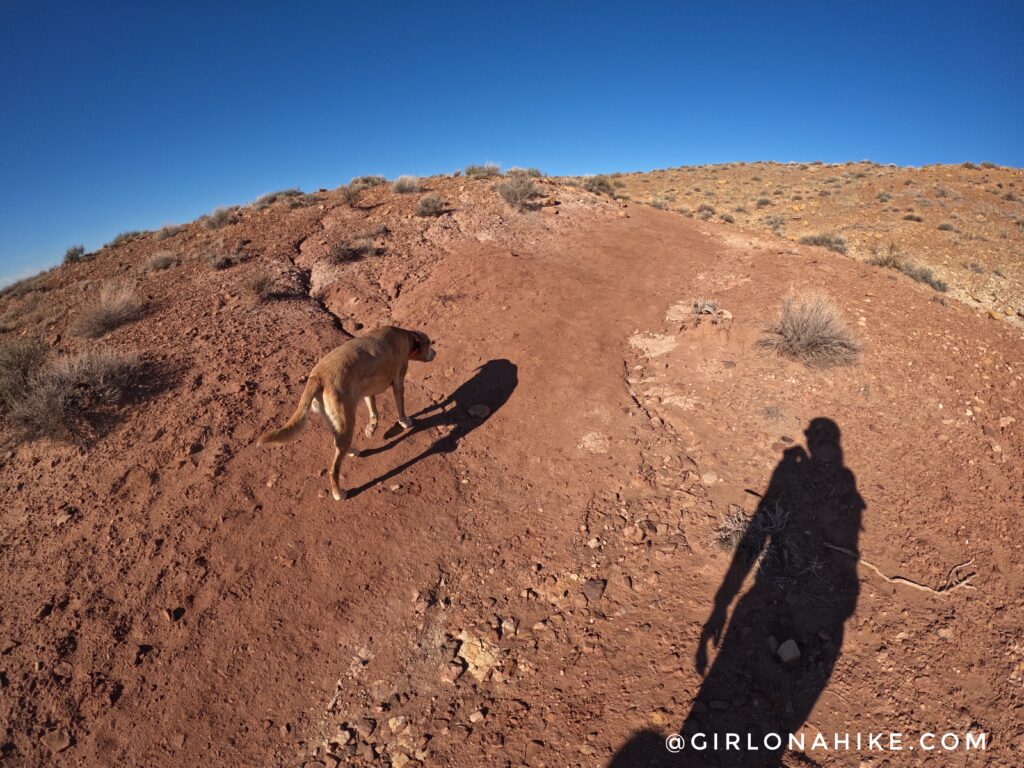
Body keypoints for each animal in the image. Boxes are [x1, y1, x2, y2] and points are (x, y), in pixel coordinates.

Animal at [256, 325, 436, 501]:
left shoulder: (367, 390)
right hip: (346, 422)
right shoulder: (398, 382)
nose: (435, 353)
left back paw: (352, 451)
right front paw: (404, 421)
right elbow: (400, 408)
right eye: (429, 344)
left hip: (338, 423)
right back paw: (338, 493)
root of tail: (317, 377)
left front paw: (372, 427)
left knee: (338, 444)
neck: (406, 336)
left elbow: (374, 411)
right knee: (333, 469)